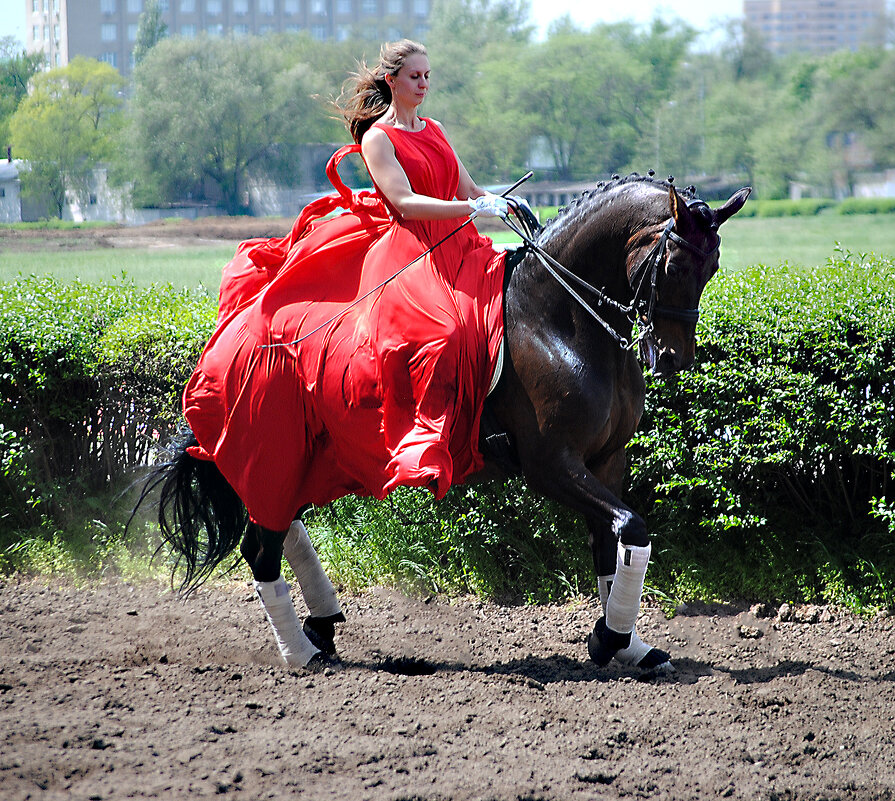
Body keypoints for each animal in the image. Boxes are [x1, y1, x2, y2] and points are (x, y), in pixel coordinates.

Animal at [142, 177, 748, 676]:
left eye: (713, 269)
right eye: (676, 267)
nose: (673, 358)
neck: (562, 320)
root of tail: (237, 328)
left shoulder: (606, 460)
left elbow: (613, 540)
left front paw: (627, 646)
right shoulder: (551, 466)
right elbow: (632, 527)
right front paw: (611, 638)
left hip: (312, 462)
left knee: (282, 525)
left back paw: (322, 627)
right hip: (275, 452)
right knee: (259, 547)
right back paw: (302, 653)